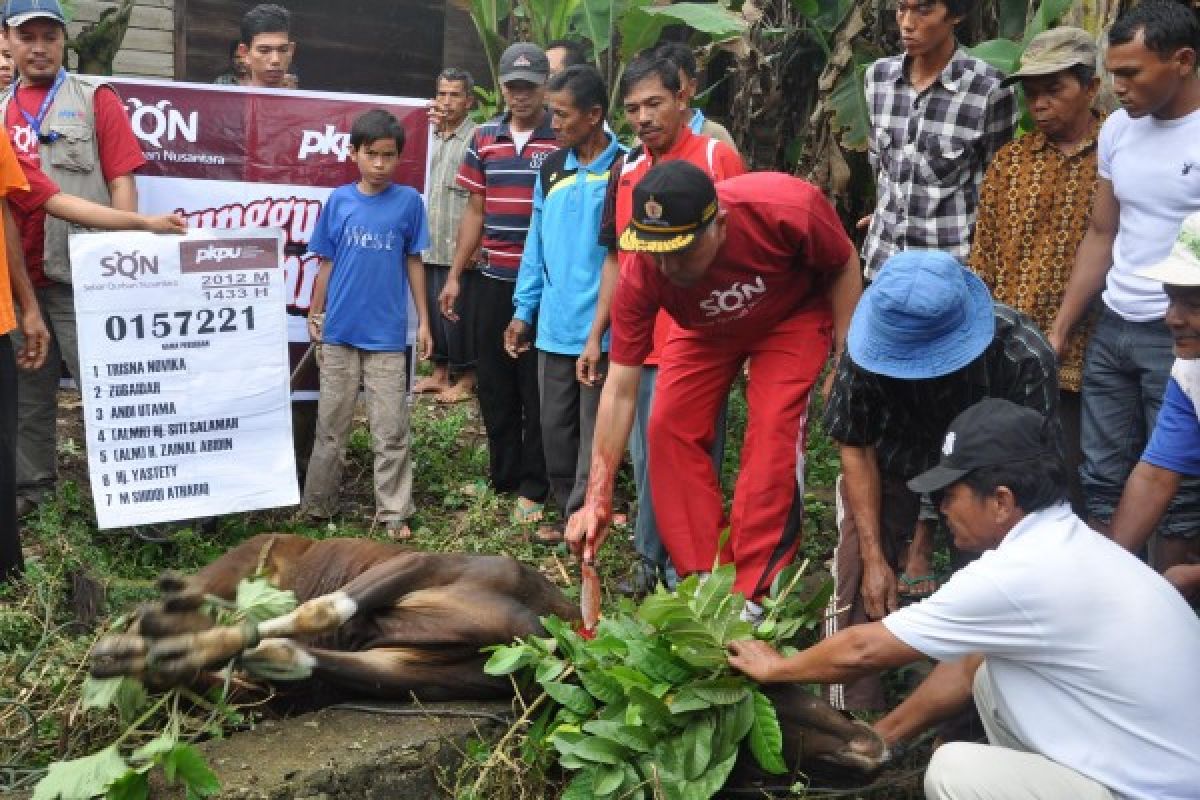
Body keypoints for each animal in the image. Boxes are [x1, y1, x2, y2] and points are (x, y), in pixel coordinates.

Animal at [91, 534, 883, 777]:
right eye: (761, 683)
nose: (873, 744)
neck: (543, 630)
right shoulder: (419, 563)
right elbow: (321, 611)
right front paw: (140, 651)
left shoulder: (409, 669)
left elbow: (292, 654)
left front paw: (167, 657)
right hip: (227, 571)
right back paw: (139, 629)